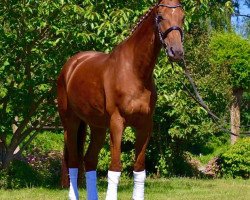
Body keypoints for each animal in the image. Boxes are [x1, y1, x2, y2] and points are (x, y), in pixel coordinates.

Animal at [57, 0, 185, 199]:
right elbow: (115, 167)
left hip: (97, 126)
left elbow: (139, 169)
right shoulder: (117, 122)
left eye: (182, 17)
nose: (176, 51)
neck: (134, 71)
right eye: (160, 16)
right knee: (74, 161)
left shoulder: (145, 125)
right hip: (70, 123)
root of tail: (71, 65)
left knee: (89, 160)